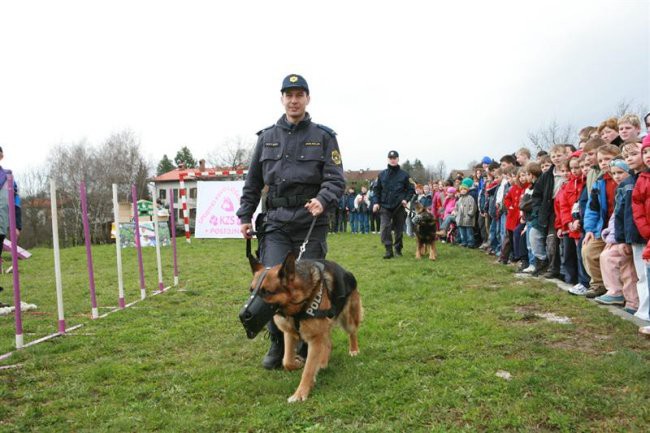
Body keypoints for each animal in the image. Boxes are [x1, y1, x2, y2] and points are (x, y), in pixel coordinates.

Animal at [248, 251, 362, 404]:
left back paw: (353, 350)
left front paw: (300, 393)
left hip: (348, 320)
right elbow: (287, 361)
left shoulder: (315, 338)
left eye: (266, 292)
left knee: (352, 333)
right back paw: (322, 361)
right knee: (328, 343)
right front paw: (298, 364)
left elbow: (308, 370)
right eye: (251, 290)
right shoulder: (290, 334)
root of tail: (347, 272)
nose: (244, 315)